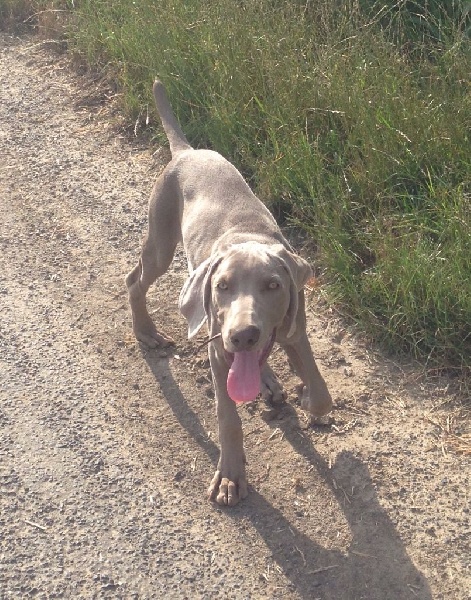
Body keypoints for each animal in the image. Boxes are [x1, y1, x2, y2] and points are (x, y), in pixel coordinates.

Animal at [127, 81, 334, 506]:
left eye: (273, 286)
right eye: (221, 287)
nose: (242, 335)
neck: (251, 238)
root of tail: (186, 151)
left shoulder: (295, 329)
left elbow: (320, 390)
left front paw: (306, 394)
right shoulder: (217, 350)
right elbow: (227, 416)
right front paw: (230, 476)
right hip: (161, 241)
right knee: (134, 280)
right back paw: (146, 331)